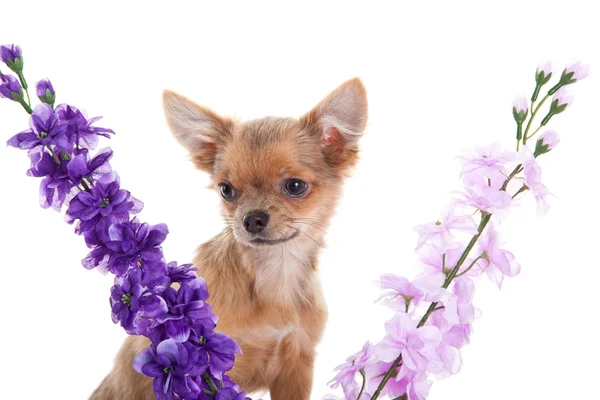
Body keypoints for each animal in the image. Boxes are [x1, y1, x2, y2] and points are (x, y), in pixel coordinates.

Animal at [92, 76, 368, 398]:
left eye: (295, 186)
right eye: (226, 190)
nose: (252, 219)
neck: (274, 273)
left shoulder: (297, 364)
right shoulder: (215, 366)